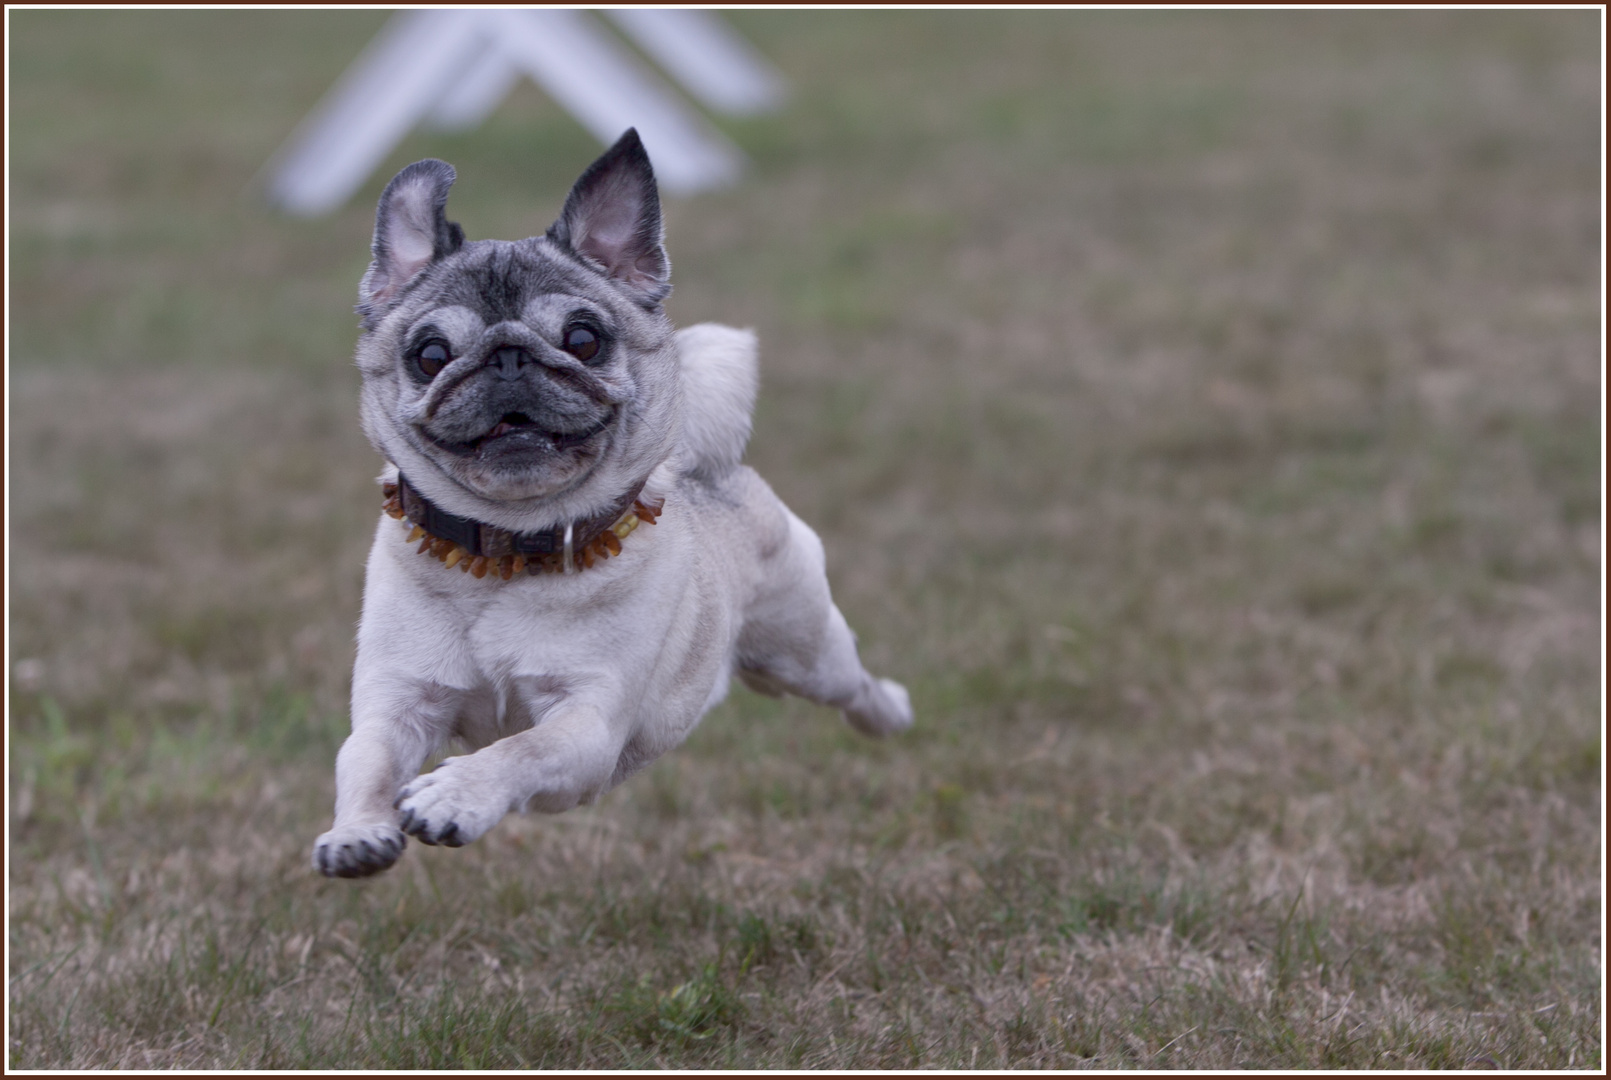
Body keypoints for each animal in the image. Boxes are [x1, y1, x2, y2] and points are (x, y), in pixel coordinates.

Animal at [309, 128, 915, 876]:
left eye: (582, 340)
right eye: (429, 355)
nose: (508, 357)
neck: (507, 552)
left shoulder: (587, 724)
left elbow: (521, 748)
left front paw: (457, 794)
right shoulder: (397, 705)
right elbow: (363, 761)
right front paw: (357, 833)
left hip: (803, 647)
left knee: (851, 683)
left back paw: (888, 712)